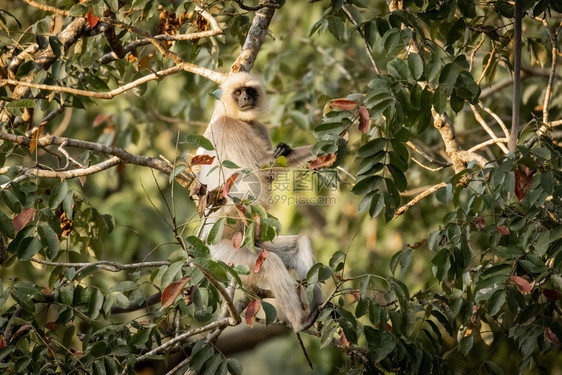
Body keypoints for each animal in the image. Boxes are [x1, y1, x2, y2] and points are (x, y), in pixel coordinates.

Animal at [194, 72, 320, 332]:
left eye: (249, 91)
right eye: (237, 92)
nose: (245, 98)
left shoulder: (258, 127)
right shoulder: (229, 126)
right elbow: (263, 167)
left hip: (252, 245)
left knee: (297, 244)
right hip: (226, 255)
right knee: (269, 262)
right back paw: (301, 321)